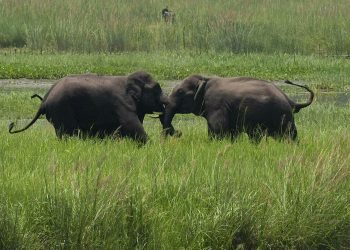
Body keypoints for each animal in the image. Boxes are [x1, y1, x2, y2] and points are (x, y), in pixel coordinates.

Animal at [10, 71, 169, 144]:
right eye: (157, 89)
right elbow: (131, 124)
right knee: (66, 132)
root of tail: (44, 100)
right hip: (61, 109)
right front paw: (151, 145)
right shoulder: (122, 103)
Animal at [163, 74, 314, 143]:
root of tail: (291, 101)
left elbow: (218, 128)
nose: (179, 133)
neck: (205, 79)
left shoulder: (216, 104)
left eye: (180, 92)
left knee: (288, 136)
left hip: (282, 115)